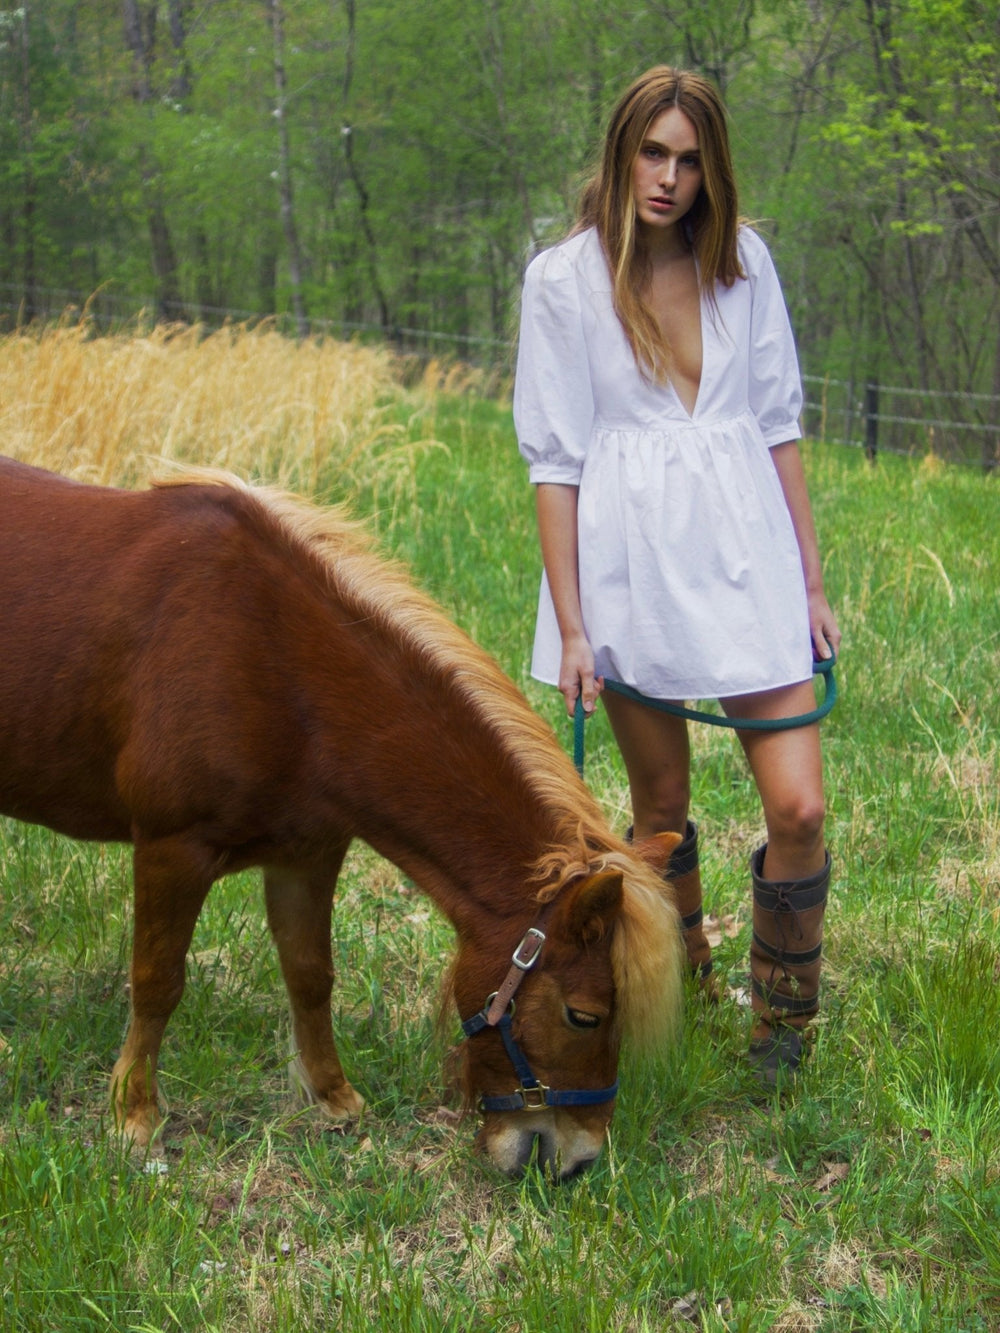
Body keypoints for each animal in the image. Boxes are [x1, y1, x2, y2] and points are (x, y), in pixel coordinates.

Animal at [0, 455, 688, 1178]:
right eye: (585, 1015)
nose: (577, 1161)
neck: (275, 658)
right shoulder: (171, 847)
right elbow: (158, 981)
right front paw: (134, 1118)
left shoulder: (307, 853)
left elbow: (311, 975)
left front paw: (333, 1098)